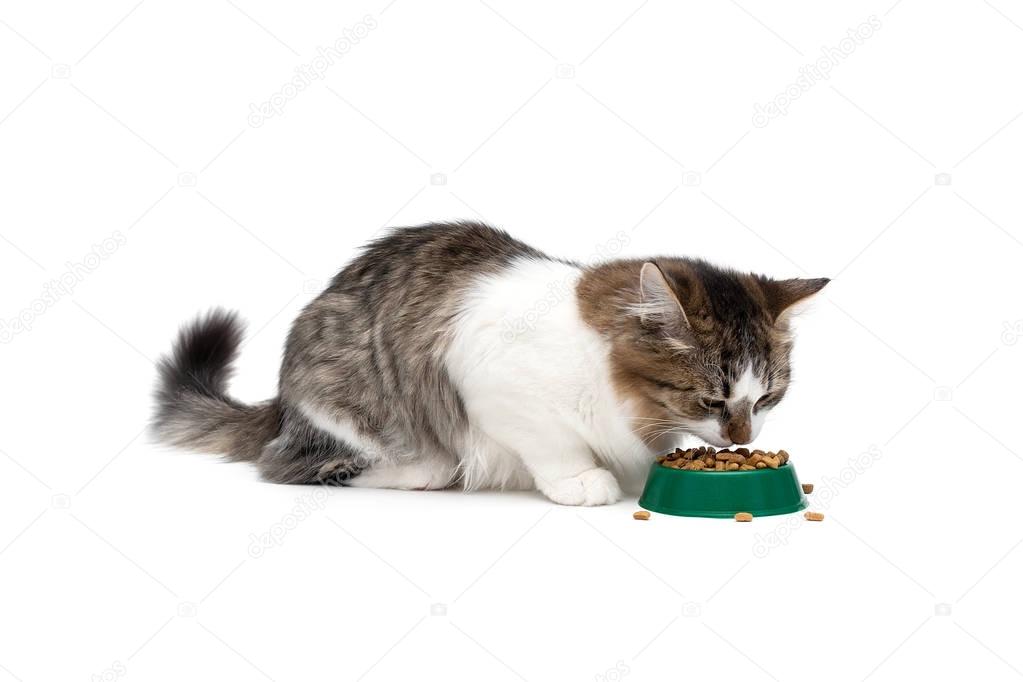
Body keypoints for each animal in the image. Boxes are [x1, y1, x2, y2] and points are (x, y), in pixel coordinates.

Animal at [151, 221, 826, 505]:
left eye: (766, 399)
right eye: (710, 400)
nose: (742, 440)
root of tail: (281, 403)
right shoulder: (491, 385)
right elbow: (556, 445)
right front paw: (583, 481)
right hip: (348, 405)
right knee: (298, 466)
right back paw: (423, 471)